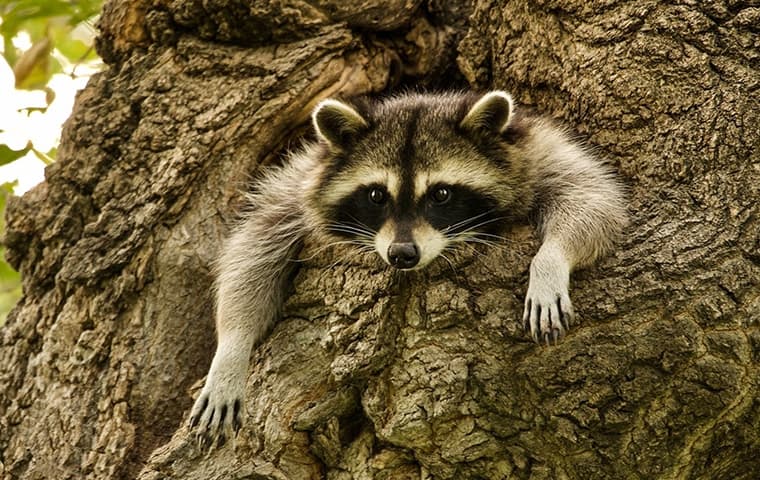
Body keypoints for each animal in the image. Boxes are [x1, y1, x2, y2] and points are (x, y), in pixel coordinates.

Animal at [189, 91, 628, 445]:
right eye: (376, 195)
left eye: (442, 194)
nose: (402, 254)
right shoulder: (300, 184)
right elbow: (254, 247)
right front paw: (231, 350)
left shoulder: (537, 154)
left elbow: (592, 199)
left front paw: (550, 263)